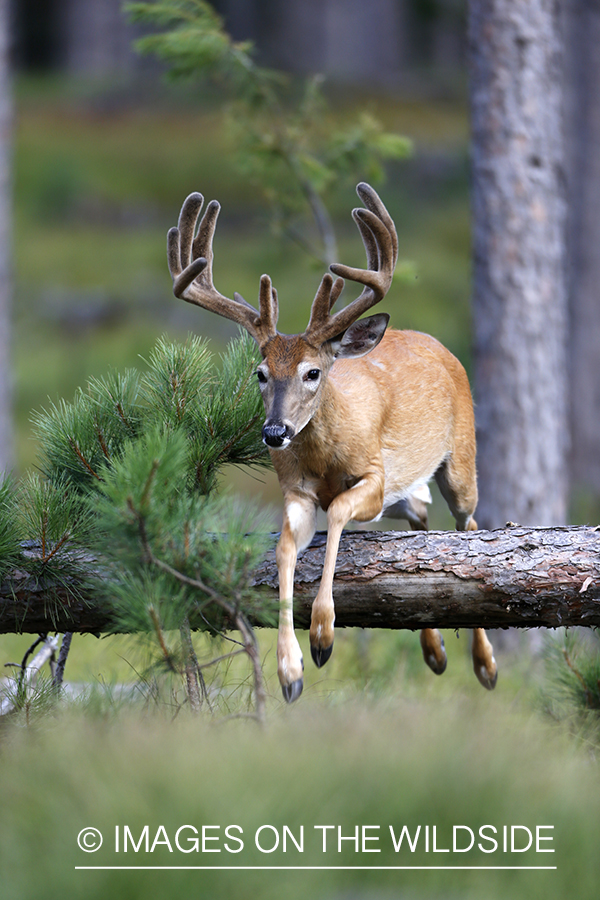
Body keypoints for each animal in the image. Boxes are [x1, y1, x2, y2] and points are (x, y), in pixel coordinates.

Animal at [165, 183, 496, 704]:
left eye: (312, 372)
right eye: (260, 373)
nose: (274, 433)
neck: (322, 460)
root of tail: (438, 344)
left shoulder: (375, 476)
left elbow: (339, 510)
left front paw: (322, 635)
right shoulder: (295, 491)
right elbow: (284, 547)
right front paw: (290, 670)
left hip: (460, 461)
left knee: (469, 525)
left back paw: (485, 663)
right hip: (405, 498)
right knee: (421, 520)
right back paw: (435, 651)